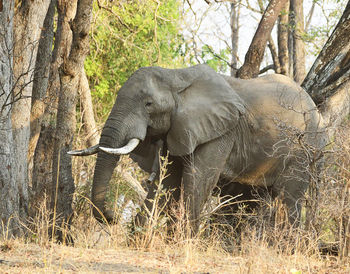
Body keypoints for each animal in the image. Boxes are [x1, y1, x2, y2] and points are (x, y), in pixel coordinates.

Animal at [69, 64, 328, 231]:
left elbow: (198, 178)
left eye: (148, 104)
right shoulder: (177, 128)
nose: (113, 218)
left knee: (288, 198)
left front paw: (180, 241)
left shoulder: (223, 131)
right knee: (251, 201)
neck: (176, 76)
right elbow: (167, 182)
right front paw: (138, 240)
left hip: (305, 149)